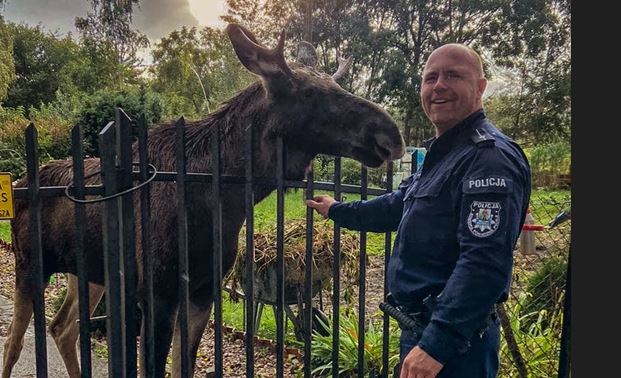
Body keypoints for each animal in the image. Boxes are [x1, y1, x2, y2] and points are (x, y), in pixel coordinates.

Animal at [1, 24, 406, 378]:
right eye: (308, 93)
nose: (392, 134)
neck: (225, 202)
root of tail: (20, 181)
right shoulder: (158, 294)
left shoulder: (202, 291)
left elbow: (185, 367)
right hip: (29, 264)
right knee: (14, 342)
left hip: (86, 273)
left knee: (61, 326)